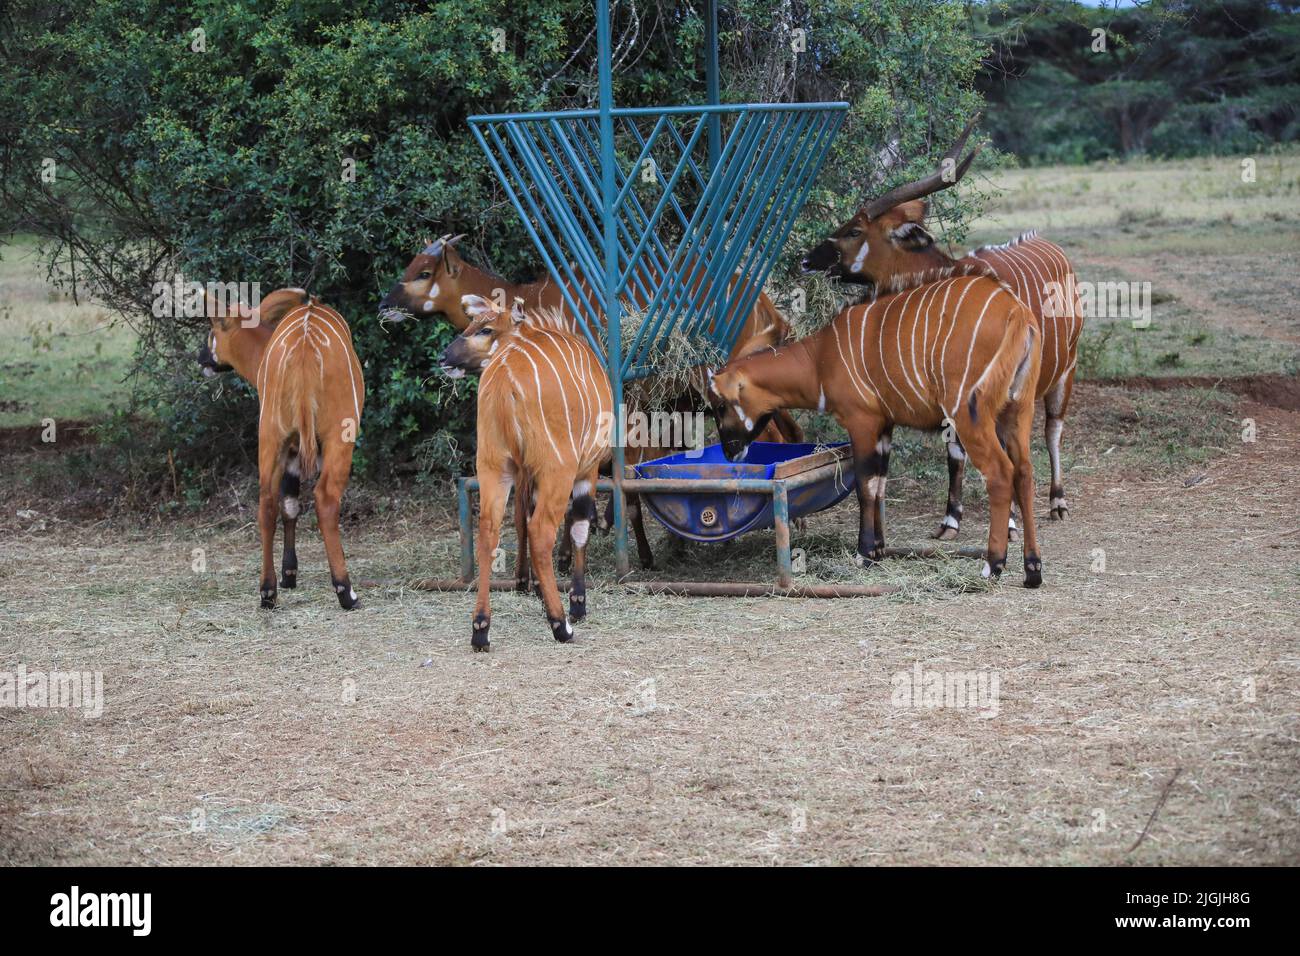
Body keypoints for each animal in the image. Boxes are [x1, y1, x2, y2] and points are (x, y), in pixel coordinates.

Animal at [200, 287, 369, 608]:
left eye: (213, 329)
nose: (201, 357)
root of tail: (303, 353)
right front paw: (292, 574)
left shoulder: (288, 447)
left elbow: (287, 504)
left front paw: (287, 576)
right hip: (337, 438)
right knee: (325, 499)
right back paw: (346, 591)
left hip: (270, 436)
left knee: (266, 502)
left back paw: (267, 591)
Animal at [439, 293, 611, 650]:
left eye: (484, 328)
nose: (443, 357)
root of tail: (505, 379)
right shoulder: (586, 470)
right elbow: (579, 526)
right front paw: (577, 604)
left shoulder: (524, 474)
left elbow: (519, 520)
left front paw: (530, 588)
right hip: (558, 470)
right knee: (542, 531)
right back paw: (561, 625)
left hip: (494, 466)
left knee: (489, 531)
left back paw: (481, 628)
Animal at [707, 264, 1040, 590]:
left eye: (720, 406)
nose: (729, 451)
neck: (819, 360)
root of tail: (1017, 312)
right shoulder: (885, 426)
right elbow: (879, 484)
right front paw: (879, 550)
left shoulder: (862, 422)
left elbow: (865, 486)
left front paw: (864, 554)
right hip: (1017, 412)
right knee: (1024, 472)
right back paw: (1032, 570)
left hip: (970, 415)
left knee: (1001, 473)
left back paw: (992, 566)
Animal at [800, 117, 1086, 538]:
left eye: (855, 230)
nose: (807, 260)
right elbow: (953, 452)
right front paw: (950, 519)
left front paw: (1009, 523)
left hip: (1065, 371)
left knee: (1052, 430)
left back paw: (1058, 502)